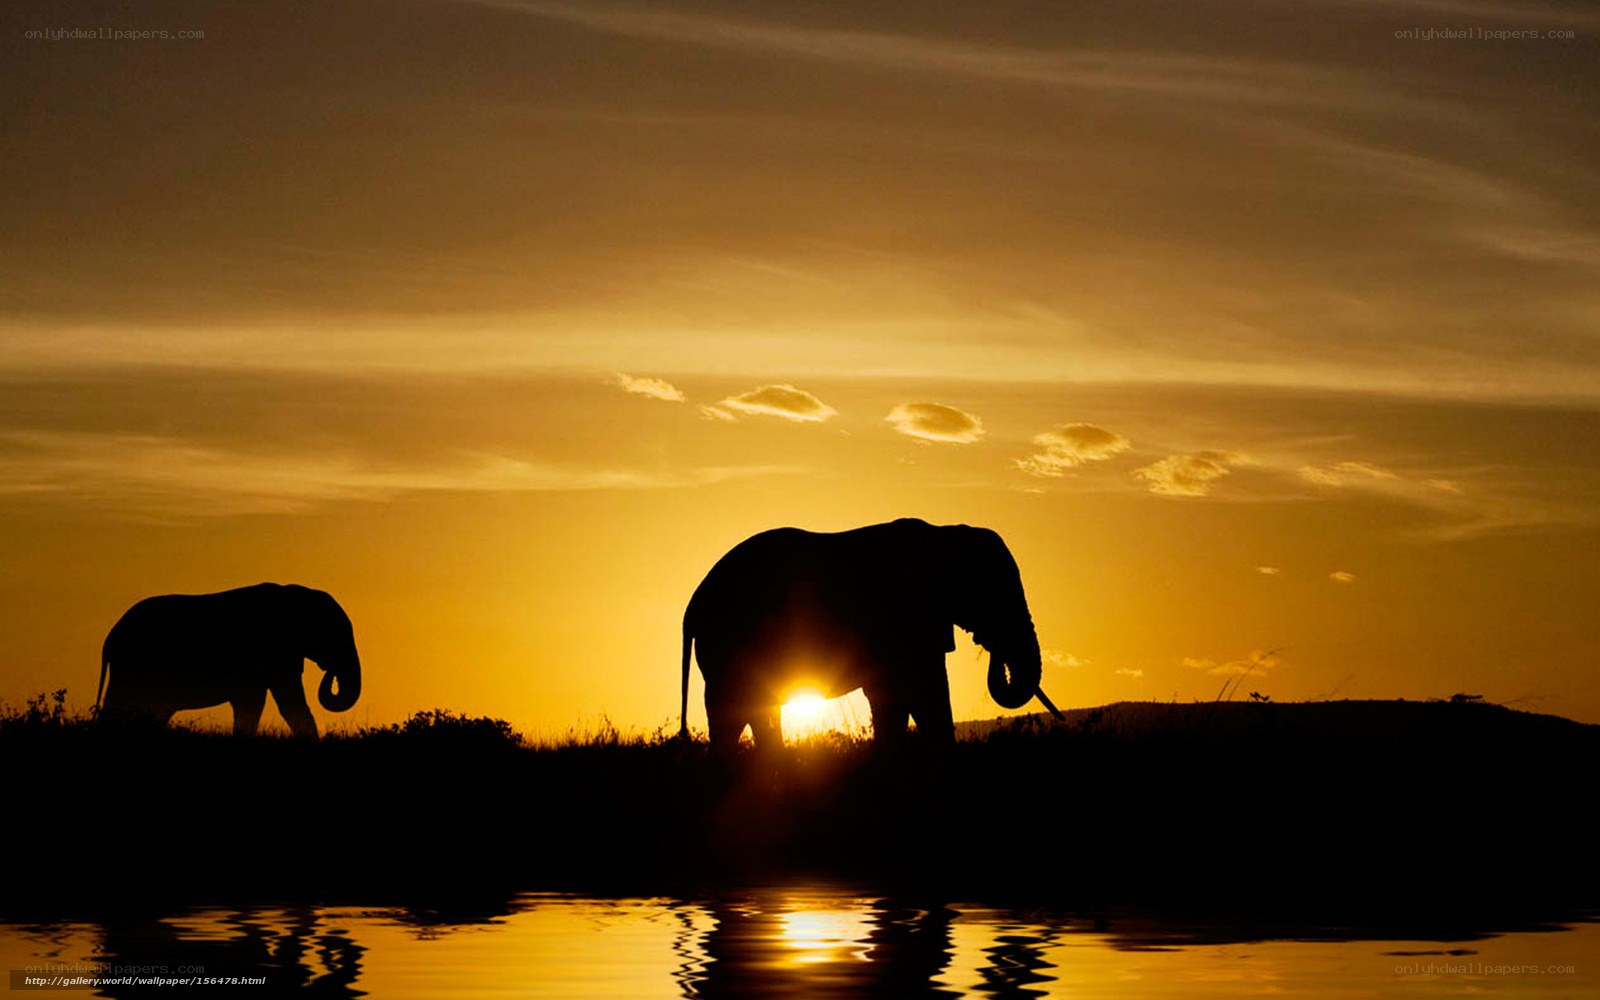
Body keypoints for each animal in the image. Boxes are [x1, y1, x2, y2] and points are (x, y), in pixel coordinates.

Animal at [96, 583, 361, 739]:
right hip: (132, 667)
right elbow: (276, 703)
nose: (330, 672)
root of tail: (109, 639)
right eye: (335, 635)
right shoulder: (274, 652)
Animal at [679, 518, 1061, 751]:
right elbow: (916, 693)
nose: (990, 644)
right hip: (727, 643)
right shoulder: (901, 618)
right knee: (733, 710)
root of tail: (693, 604)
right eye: (992, 593)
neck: (945, 534)